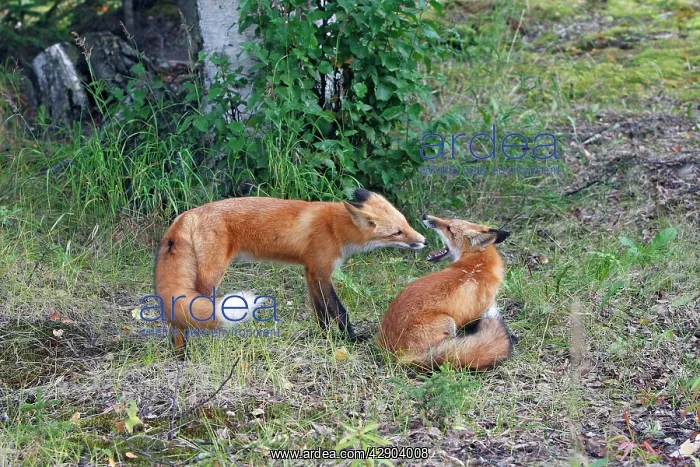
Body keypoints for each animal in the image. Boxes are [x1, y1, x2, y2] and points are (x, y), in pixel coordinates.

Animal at [153, 189, 427, 349]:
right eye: (397, 232)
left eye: (406, 224)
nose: (424, 240)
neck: (335, 228)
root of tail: (186, 215)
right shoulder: (321, 271)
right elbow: (339, 310)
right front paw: (351, 338)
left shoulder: (311, 272)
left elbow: (321, 313)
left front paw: (325, 338)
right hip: (211, 276)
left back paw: (180, 351)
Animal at [376, 214, 514, 371]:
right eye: (449, 222)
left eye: (449, 228)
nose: (426, 216)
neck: (477, 264)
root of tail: (394, 354)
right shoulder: (477, 312)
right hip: (448, 322)